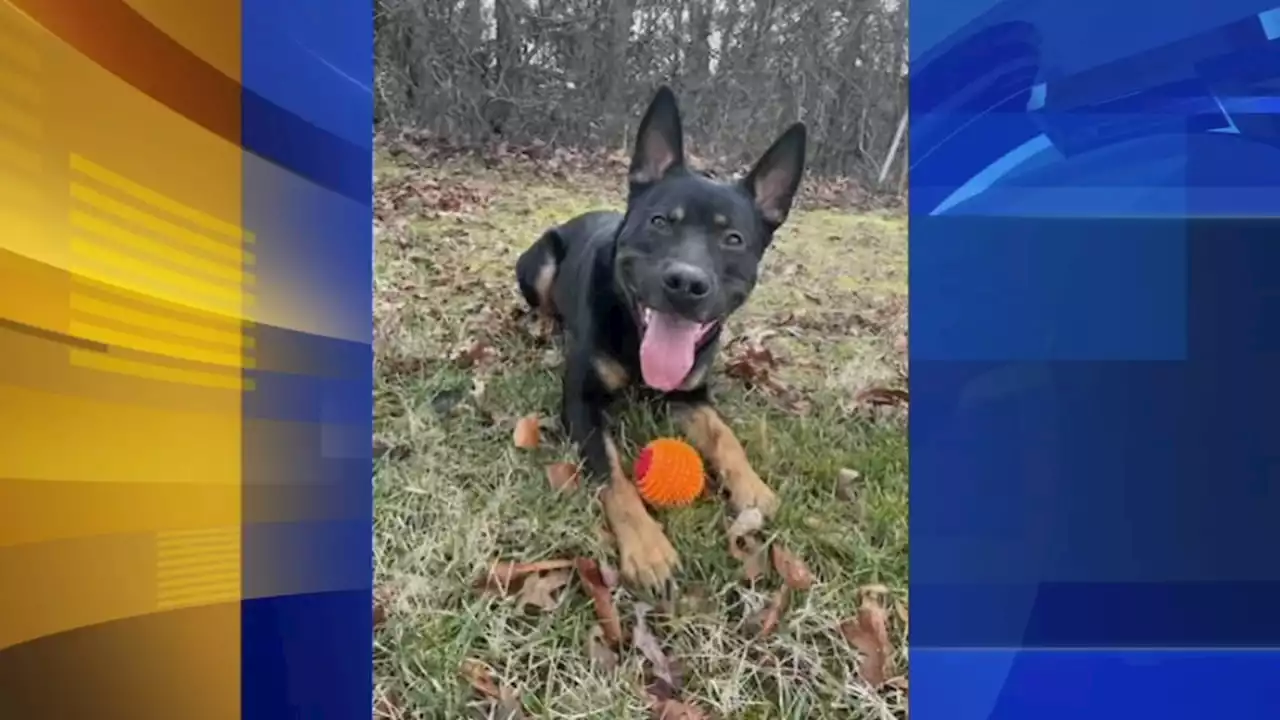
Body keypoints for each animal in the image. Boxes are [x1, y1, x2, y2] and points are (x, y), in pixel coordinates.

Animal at [514, 85, 803, 589]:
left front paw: (751, 487)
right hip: (541, 261)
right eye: (661, 221)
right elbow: (614, 477)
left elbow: (725, 436)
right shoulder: (580, 406)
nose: (686, 283)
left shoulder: (691, 398)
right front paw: (648, 549)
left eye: (732, 238)